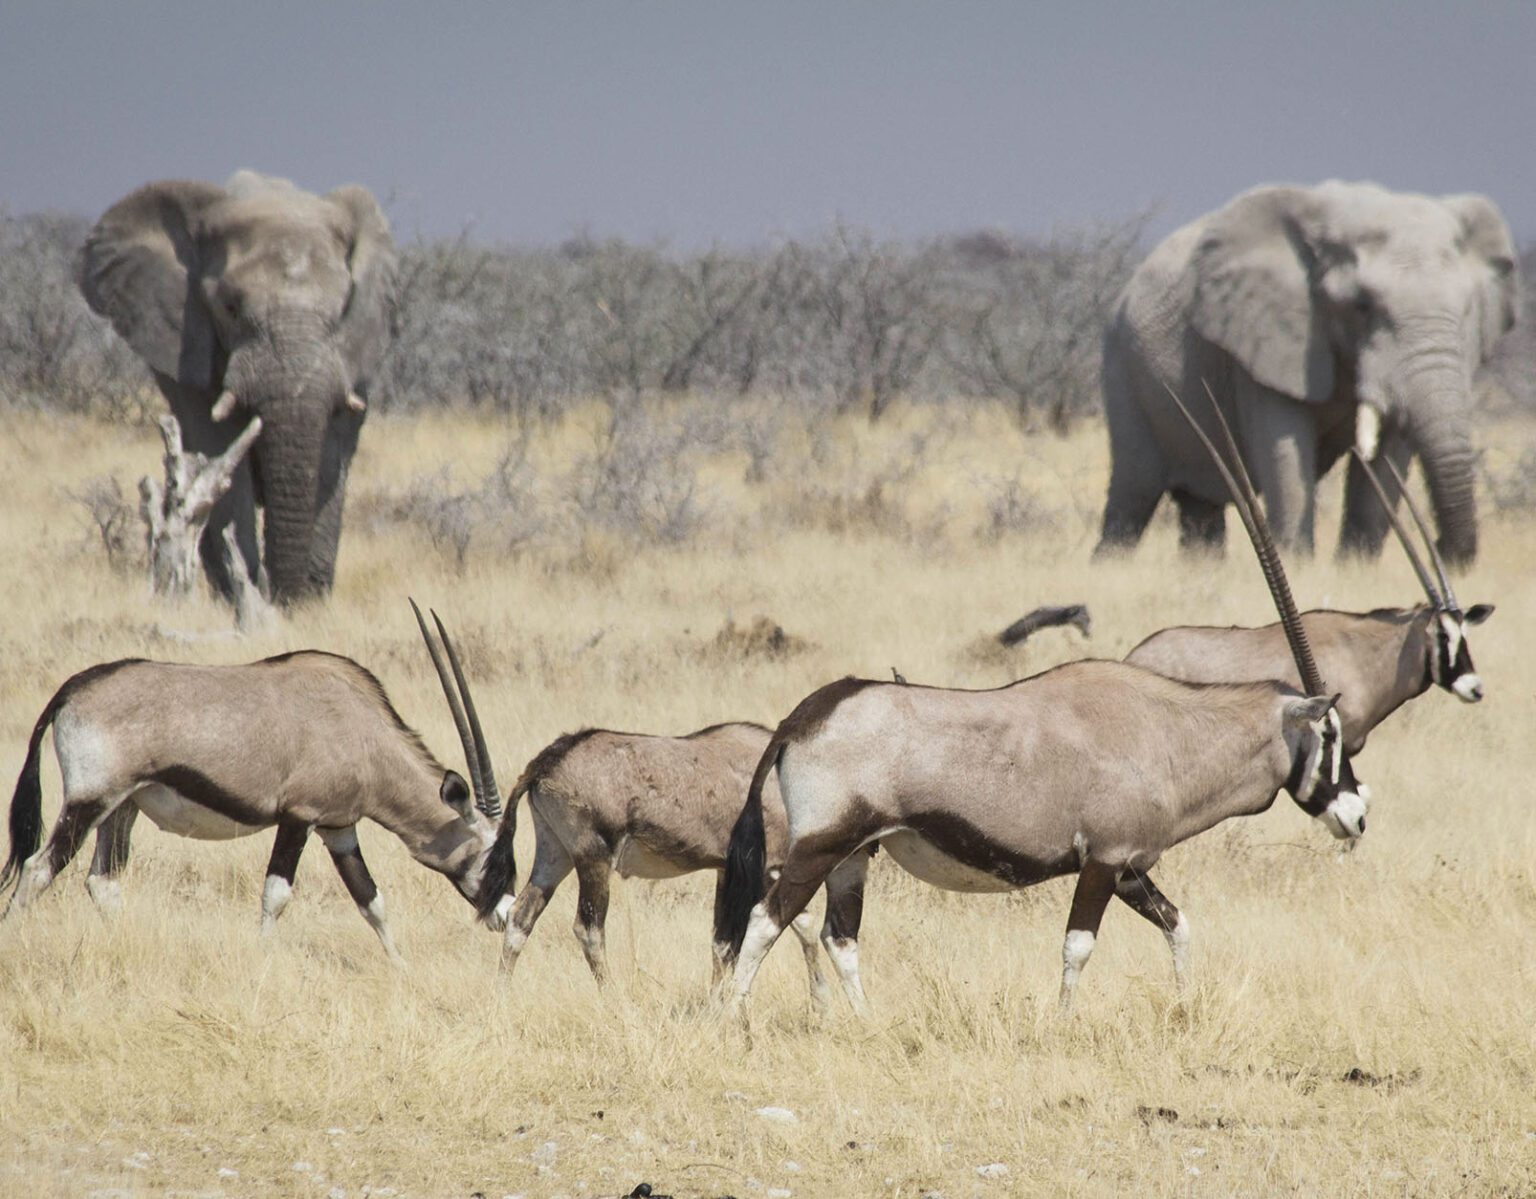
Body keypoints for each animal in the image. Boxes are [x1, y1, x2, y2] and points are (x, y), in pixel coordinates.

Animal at [79, 171, 398, 604]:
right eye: (230, 307)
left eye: (343, 307)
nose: (288, 598)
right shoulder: (188, 346)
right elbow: (221, 447)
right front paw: (247, 588)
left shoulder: (351, 356)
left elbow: (331, 454)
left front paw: (308, 603)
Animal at [1095, 180, 1519, 566]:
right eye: (1362, 305)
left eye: (1467, 309)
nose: (1444, 549)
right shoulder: (1263, 341)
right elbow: (1285, 450)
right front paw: (1299, 566)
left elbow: (1387, 462)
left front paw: (1356, 570)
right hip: (1122, 366)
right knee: (1133, 493)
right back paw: (1109, 565)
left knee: (1200, 509)